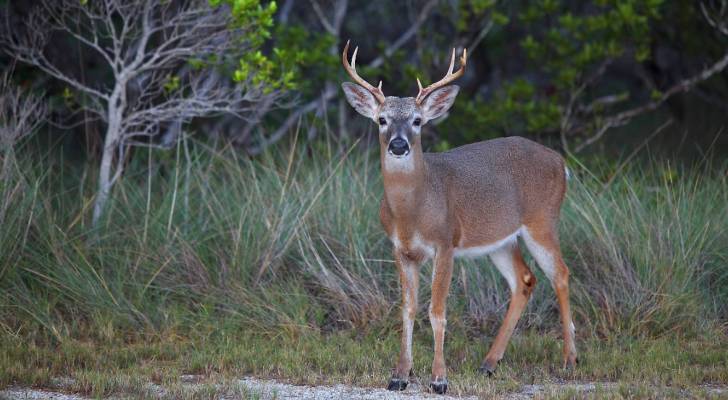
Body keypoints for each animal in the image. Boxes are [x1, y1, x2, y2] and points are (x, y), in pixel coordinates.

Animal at [342, 41, 580, 394]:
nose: (398, 145)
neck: (413, 212)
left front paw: (439, 379)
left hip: (542, 220)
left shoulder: (445, 242)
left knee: (560, 274)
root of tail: (561, 163)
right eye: (382, 119)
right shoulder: (401, 250)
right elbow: (407, 309)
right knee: (524, 280)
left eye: (417, 121)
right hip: (500, 240)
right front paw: (399, 375)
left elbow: (437, 310)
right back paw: (489, 363)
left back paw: (569, 359)